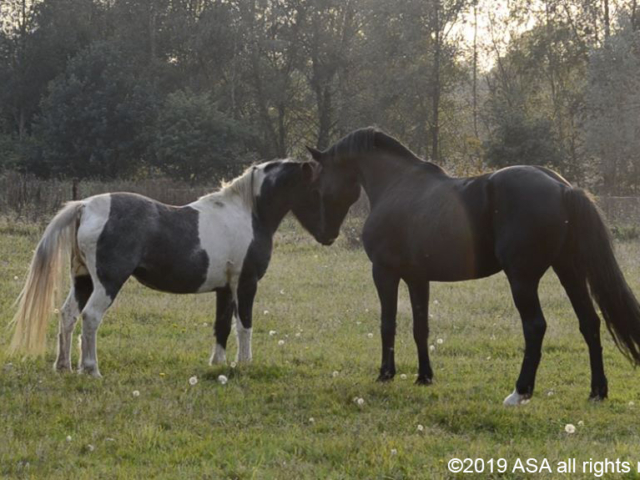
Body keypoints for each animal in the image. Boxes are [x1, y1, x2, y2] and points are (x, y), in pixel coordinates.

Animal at [7, 159, 322, 376]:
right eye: (314, 187)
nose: (326, 234)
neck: (247, 213)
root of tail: (85, 206)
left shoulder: (224, 287)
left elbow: (222, 326)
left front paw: (218, 365)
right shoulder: (245, 283)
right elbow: (244, 325)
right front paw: (244, 364)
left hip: (82, 280)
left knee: (68, 315)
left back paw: (64, 366)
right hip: (108, 283)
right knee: (90, 317)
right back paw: (91, 369)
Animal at [306, 127, 640, 404]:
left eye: (319, 182)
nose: (324, 234)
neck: (396, 186)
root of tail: (562, 188)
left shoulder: (384, 272)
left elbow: (388, 324)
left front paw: (385, 374)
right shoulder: (417, 278)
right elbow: (420, 327)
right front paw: (424, 376)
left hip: (522, 279)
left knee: (535, 327)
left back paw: (520, 391)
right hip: (568, 270)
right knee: (590, 323)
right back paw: (597, 391)